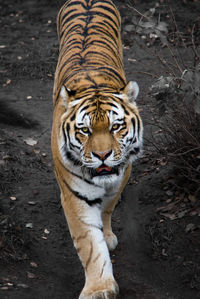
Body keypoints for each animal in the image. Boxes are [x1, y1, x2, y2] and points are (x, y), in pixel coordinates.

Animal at [50, 0, 143, 298]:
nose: (102, 155)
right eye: (85, 130)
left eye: (115, 127)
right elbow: (90, 244)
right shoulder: (75, 196)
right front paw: (99, 288)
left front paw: (108, 235)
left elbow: (107, 209)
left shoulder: (120, 177)